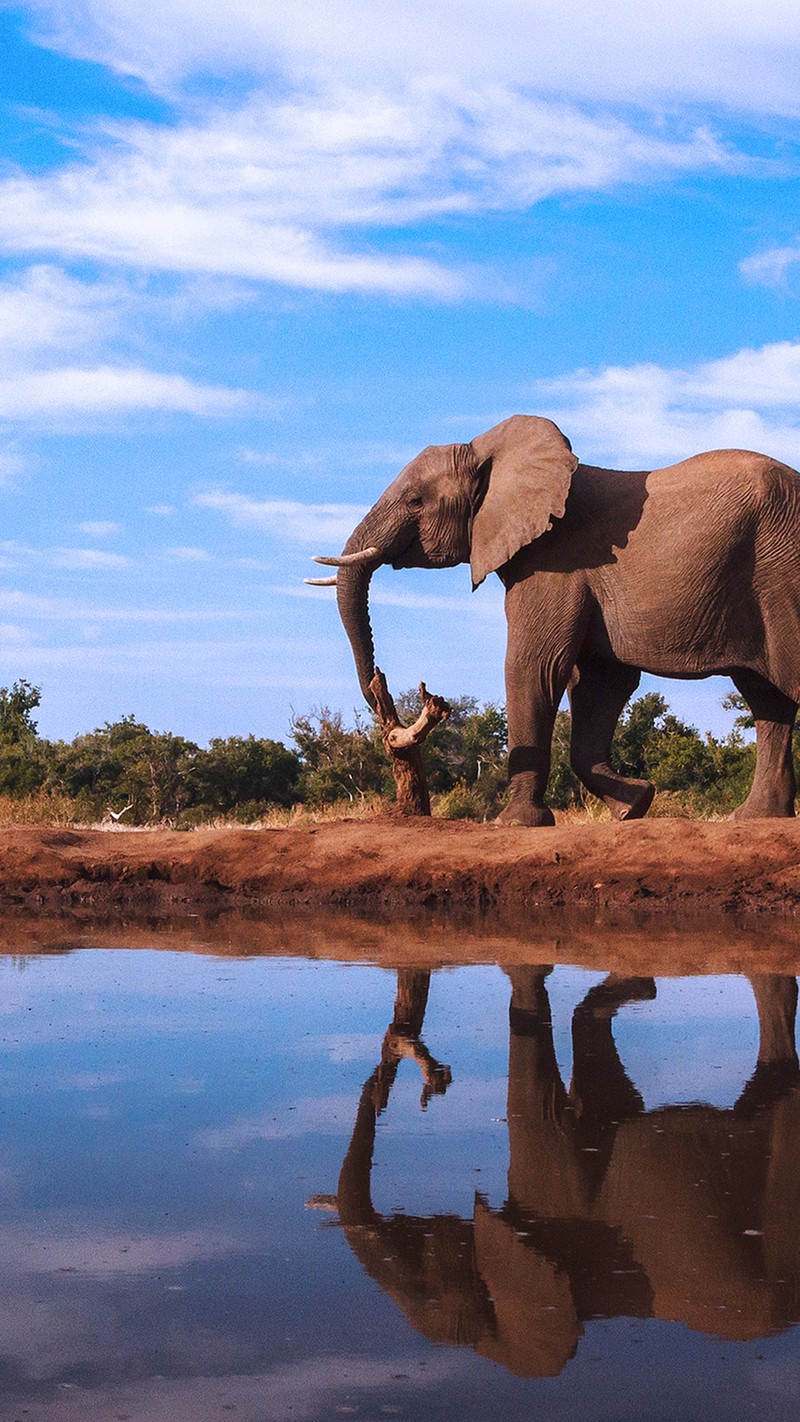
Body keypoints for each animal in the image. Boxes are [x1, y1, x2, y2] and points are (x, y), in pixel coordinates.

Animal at [308, 415, 800, 824]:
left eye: (415, 501)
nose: (392, 717)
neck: (488, 452)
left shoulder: (554, 563)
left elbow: (535, 667)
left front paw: (515, 824)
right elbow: (601, 682)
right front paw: (634, 806)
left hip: (781, 573)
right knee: (767, 700)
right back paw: (755, 817)